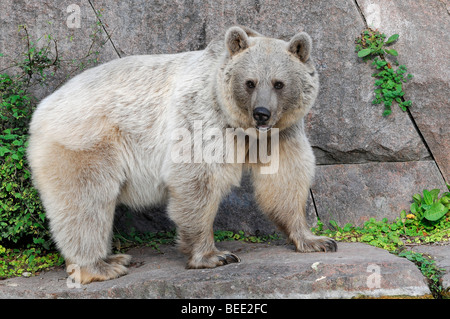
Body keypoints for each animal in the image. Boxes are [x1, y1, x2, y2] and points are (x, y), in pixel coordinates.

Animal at [27, 26, 334, 284]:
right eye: (250, 82)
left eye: (279, 83)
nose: (262, 113)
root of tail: (40, 111)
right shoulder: (202, 114)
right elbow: (197, 178)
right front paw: (214, 255)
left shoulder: (280, 133)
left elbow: (284, 180)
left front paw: (316, 239)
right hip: (86, 143)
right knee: (86, 202)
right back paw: (101, 266)